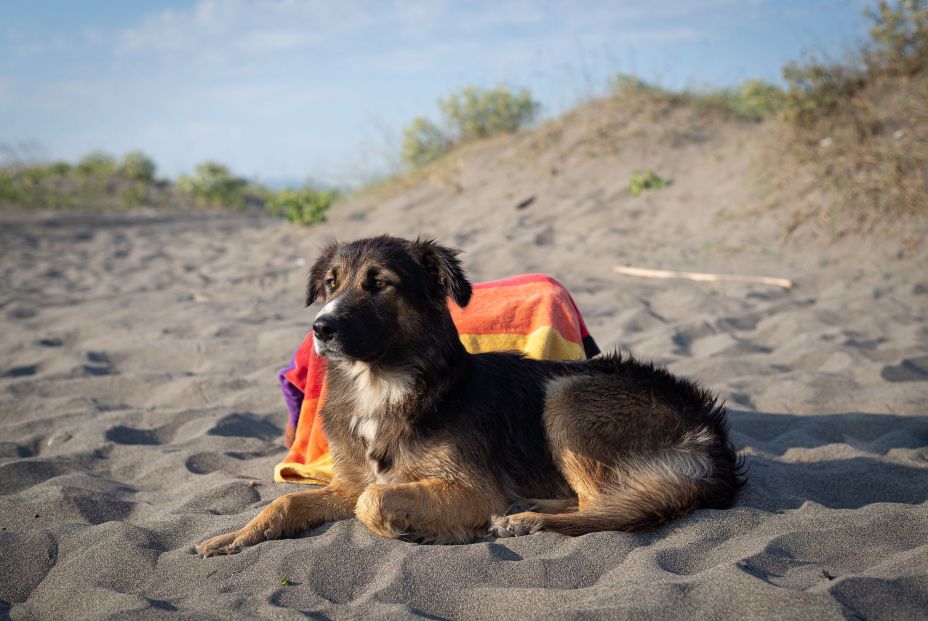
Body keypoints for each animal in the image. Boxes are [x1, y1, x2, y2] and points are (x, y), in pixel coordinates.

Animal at [198, 235, 748, 556]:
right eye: (331, 283)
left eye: (380, 284)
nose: (321, 327)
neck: (382, 384)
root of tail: (709, 431)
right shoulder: (349, 482)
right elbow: (288, 502)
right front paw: (235, 536)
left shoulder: (470, 488)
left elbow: (373, 504)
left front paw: (415, 530)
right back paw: (528, 509)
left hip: (566, 393)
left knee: (605, 505)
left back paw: (526, 519)